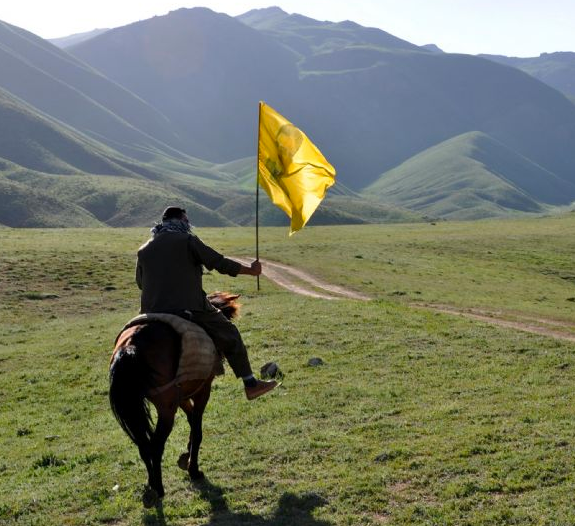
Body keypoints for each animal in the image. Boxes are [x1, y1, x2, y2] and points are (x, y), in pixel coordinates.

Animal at [109, 292, 240, 508]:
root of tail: (130, 347)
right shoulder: (202, 391)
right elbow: (197, 428)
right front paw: (193, 469)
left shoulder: (181, 397)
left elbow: (191, 419)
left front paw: (185, 456)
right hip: (166, 409)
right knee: (155, 445)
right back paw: (159, 488)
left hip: (143, 408)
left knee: (143, 445)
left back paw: (151, 484)